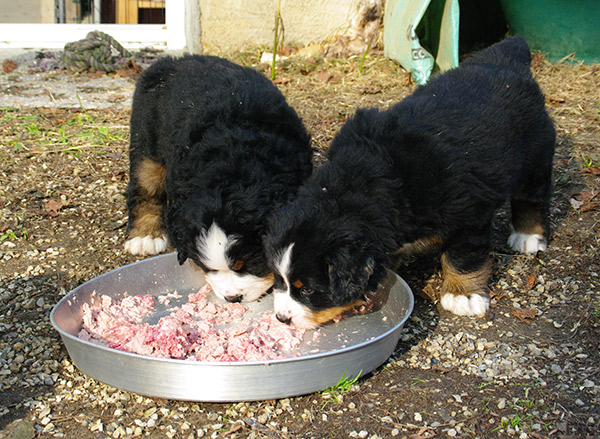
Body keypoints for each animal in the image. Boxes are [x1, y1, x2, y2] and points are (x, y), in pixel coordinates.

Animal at [125, 54, 314, 302]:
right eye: (206, 267)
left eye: (250, 264)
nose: (233, 298)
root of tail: (176, 60)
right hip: (145, 139)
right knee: (144, 185)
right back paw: (144, 236)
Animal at [264, 36, 556, 328]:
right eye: (279, 279)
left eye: (308, 290)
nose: (282, 318)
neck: (366, 180)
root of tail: (503, 60)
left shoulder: (469, 215)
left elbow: (463, 257)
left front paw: (463, 295)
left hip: (536, 156)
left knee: (532, 198)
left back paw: (528, 237)